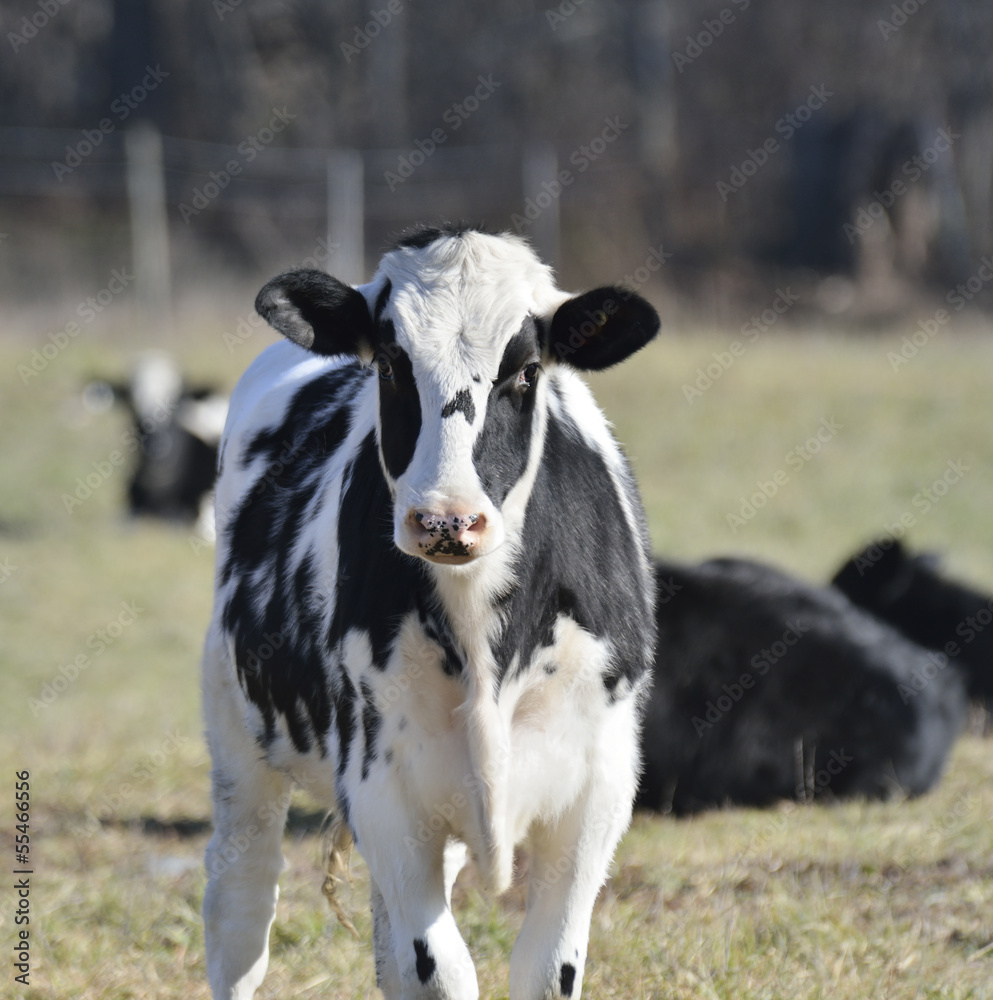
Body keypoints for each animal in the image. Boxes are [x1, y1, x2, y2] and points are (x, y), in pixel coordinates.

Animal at [201, 227, 660, 1000]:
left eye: (526, 371)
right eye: (390, 363)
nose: (447, 520)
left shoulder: (594, 790)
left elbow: (545, 968)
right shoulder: (384, 788)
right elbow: (438, 969)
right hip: (238, 739)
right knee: (240, 908)